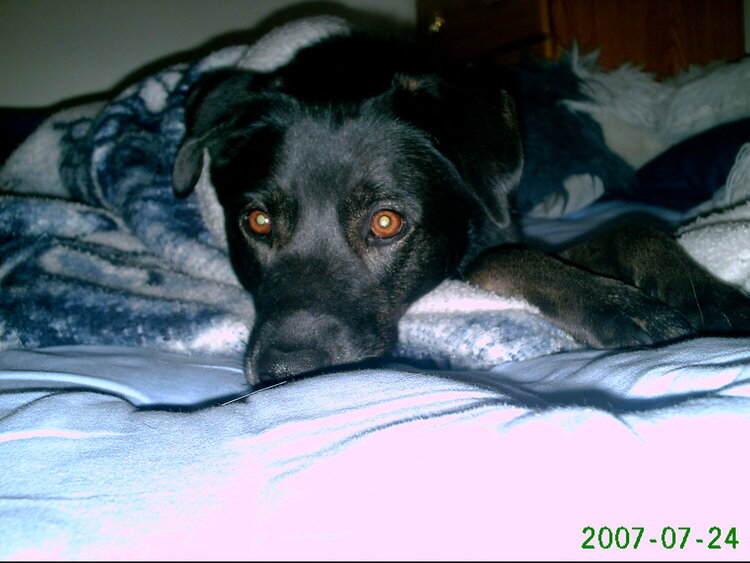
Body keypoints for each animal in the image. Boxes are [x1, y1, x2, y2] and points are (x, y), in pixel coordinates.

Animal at [173, 28, 750, 386]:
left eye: (386, 222)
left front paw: (707, 296)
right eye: (257, 221)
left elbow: (633, 229)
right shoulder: (480, 258)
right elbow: (509, 259)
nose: (284, 376)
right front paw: (616, 305)